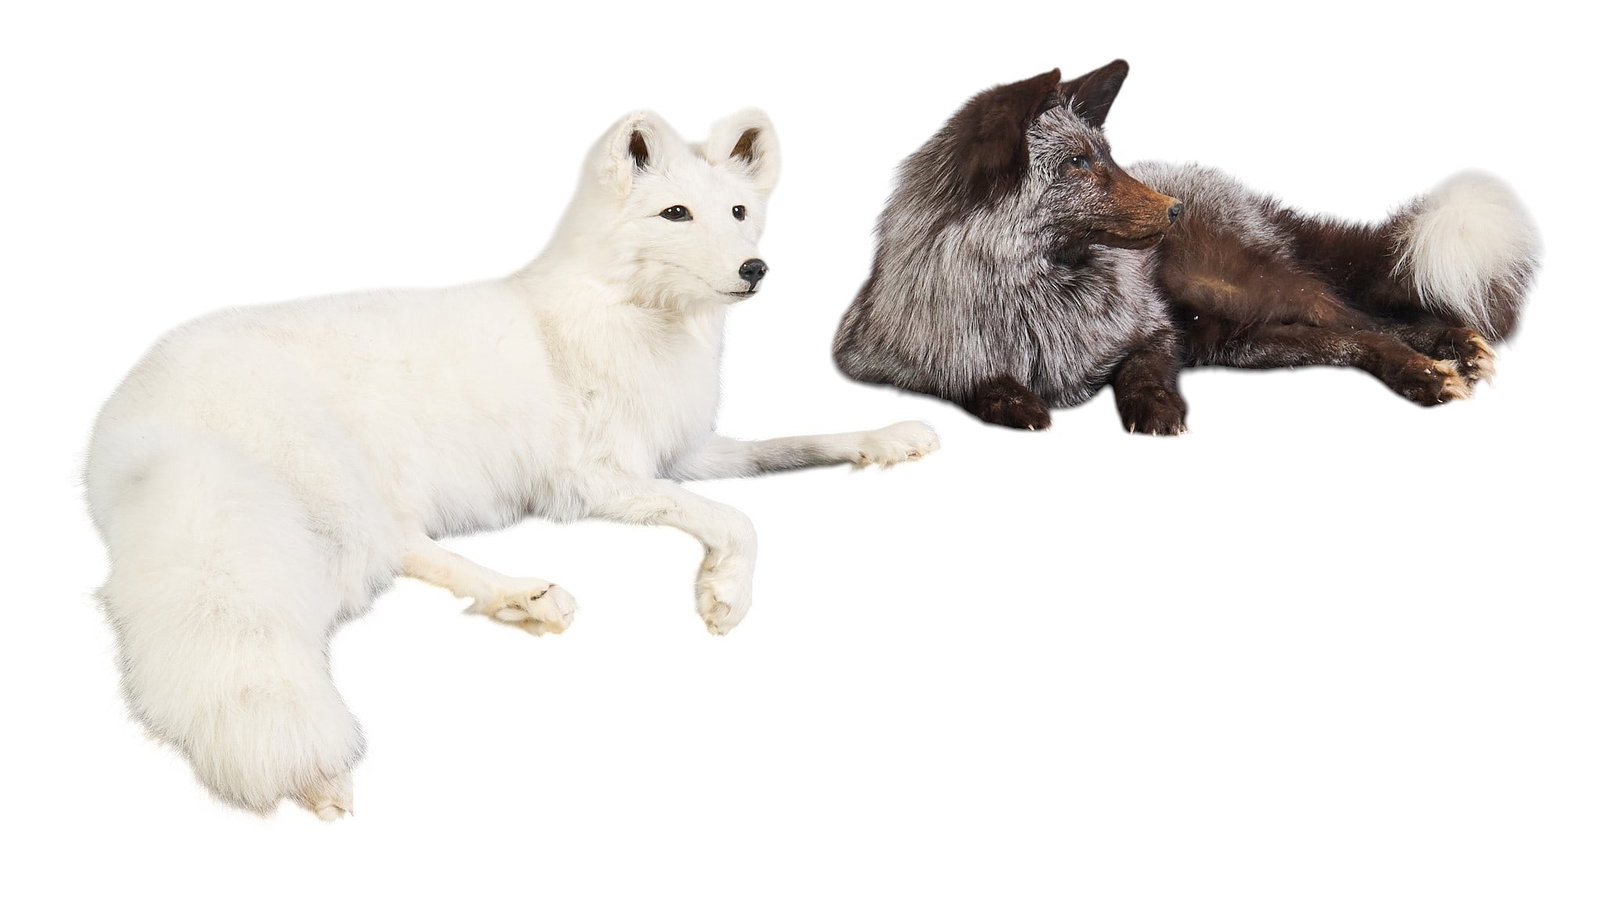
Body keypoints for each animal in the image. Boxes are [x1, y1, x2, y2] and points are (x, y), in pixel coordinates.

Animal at [84, 109, 938, 818]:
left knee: (406, 551)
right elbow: (738, 519)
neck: (637, 319)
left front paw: (888, 436)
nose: (755, 269)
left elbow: (786, 448)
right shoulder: (595, 479)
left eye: (737, 213)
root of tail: (123, 422)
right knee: (356, 580)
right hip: (325, 510)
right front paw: (724, 592)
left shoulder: (687, 453)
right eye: (675, 215)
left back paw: (522, 599)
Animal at [832, 61, 1541, 433]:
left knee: (1366, 320)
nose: (1172, 211)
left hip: (1239, 291)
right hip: (1245, 339)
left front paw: (1156, 406)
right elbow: (959, 378)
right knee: (1349, 338)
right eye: (1079, 164)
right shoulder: (870, 361)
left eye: (1109, 156)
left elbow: (1143, 366)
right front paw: (1008, 399)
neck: (1037, 303)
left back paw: (1441, 359)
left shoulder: (1155, 328)